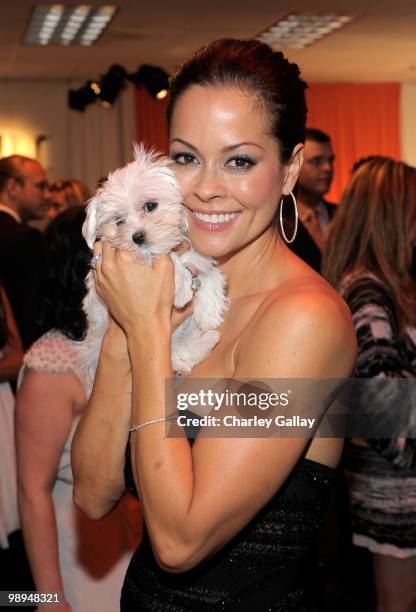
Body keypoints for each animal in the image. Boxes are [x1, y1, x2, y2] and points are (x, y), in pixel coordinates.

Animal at [79, 145, 226, 394]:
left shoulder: (198, 255)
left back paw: (199, 346)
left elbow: (208, 271)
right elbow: (169, 261)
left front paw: (210, 310)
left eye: (150, 206)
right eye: (119, 221)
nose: (137, 236)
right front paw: (183, 287)